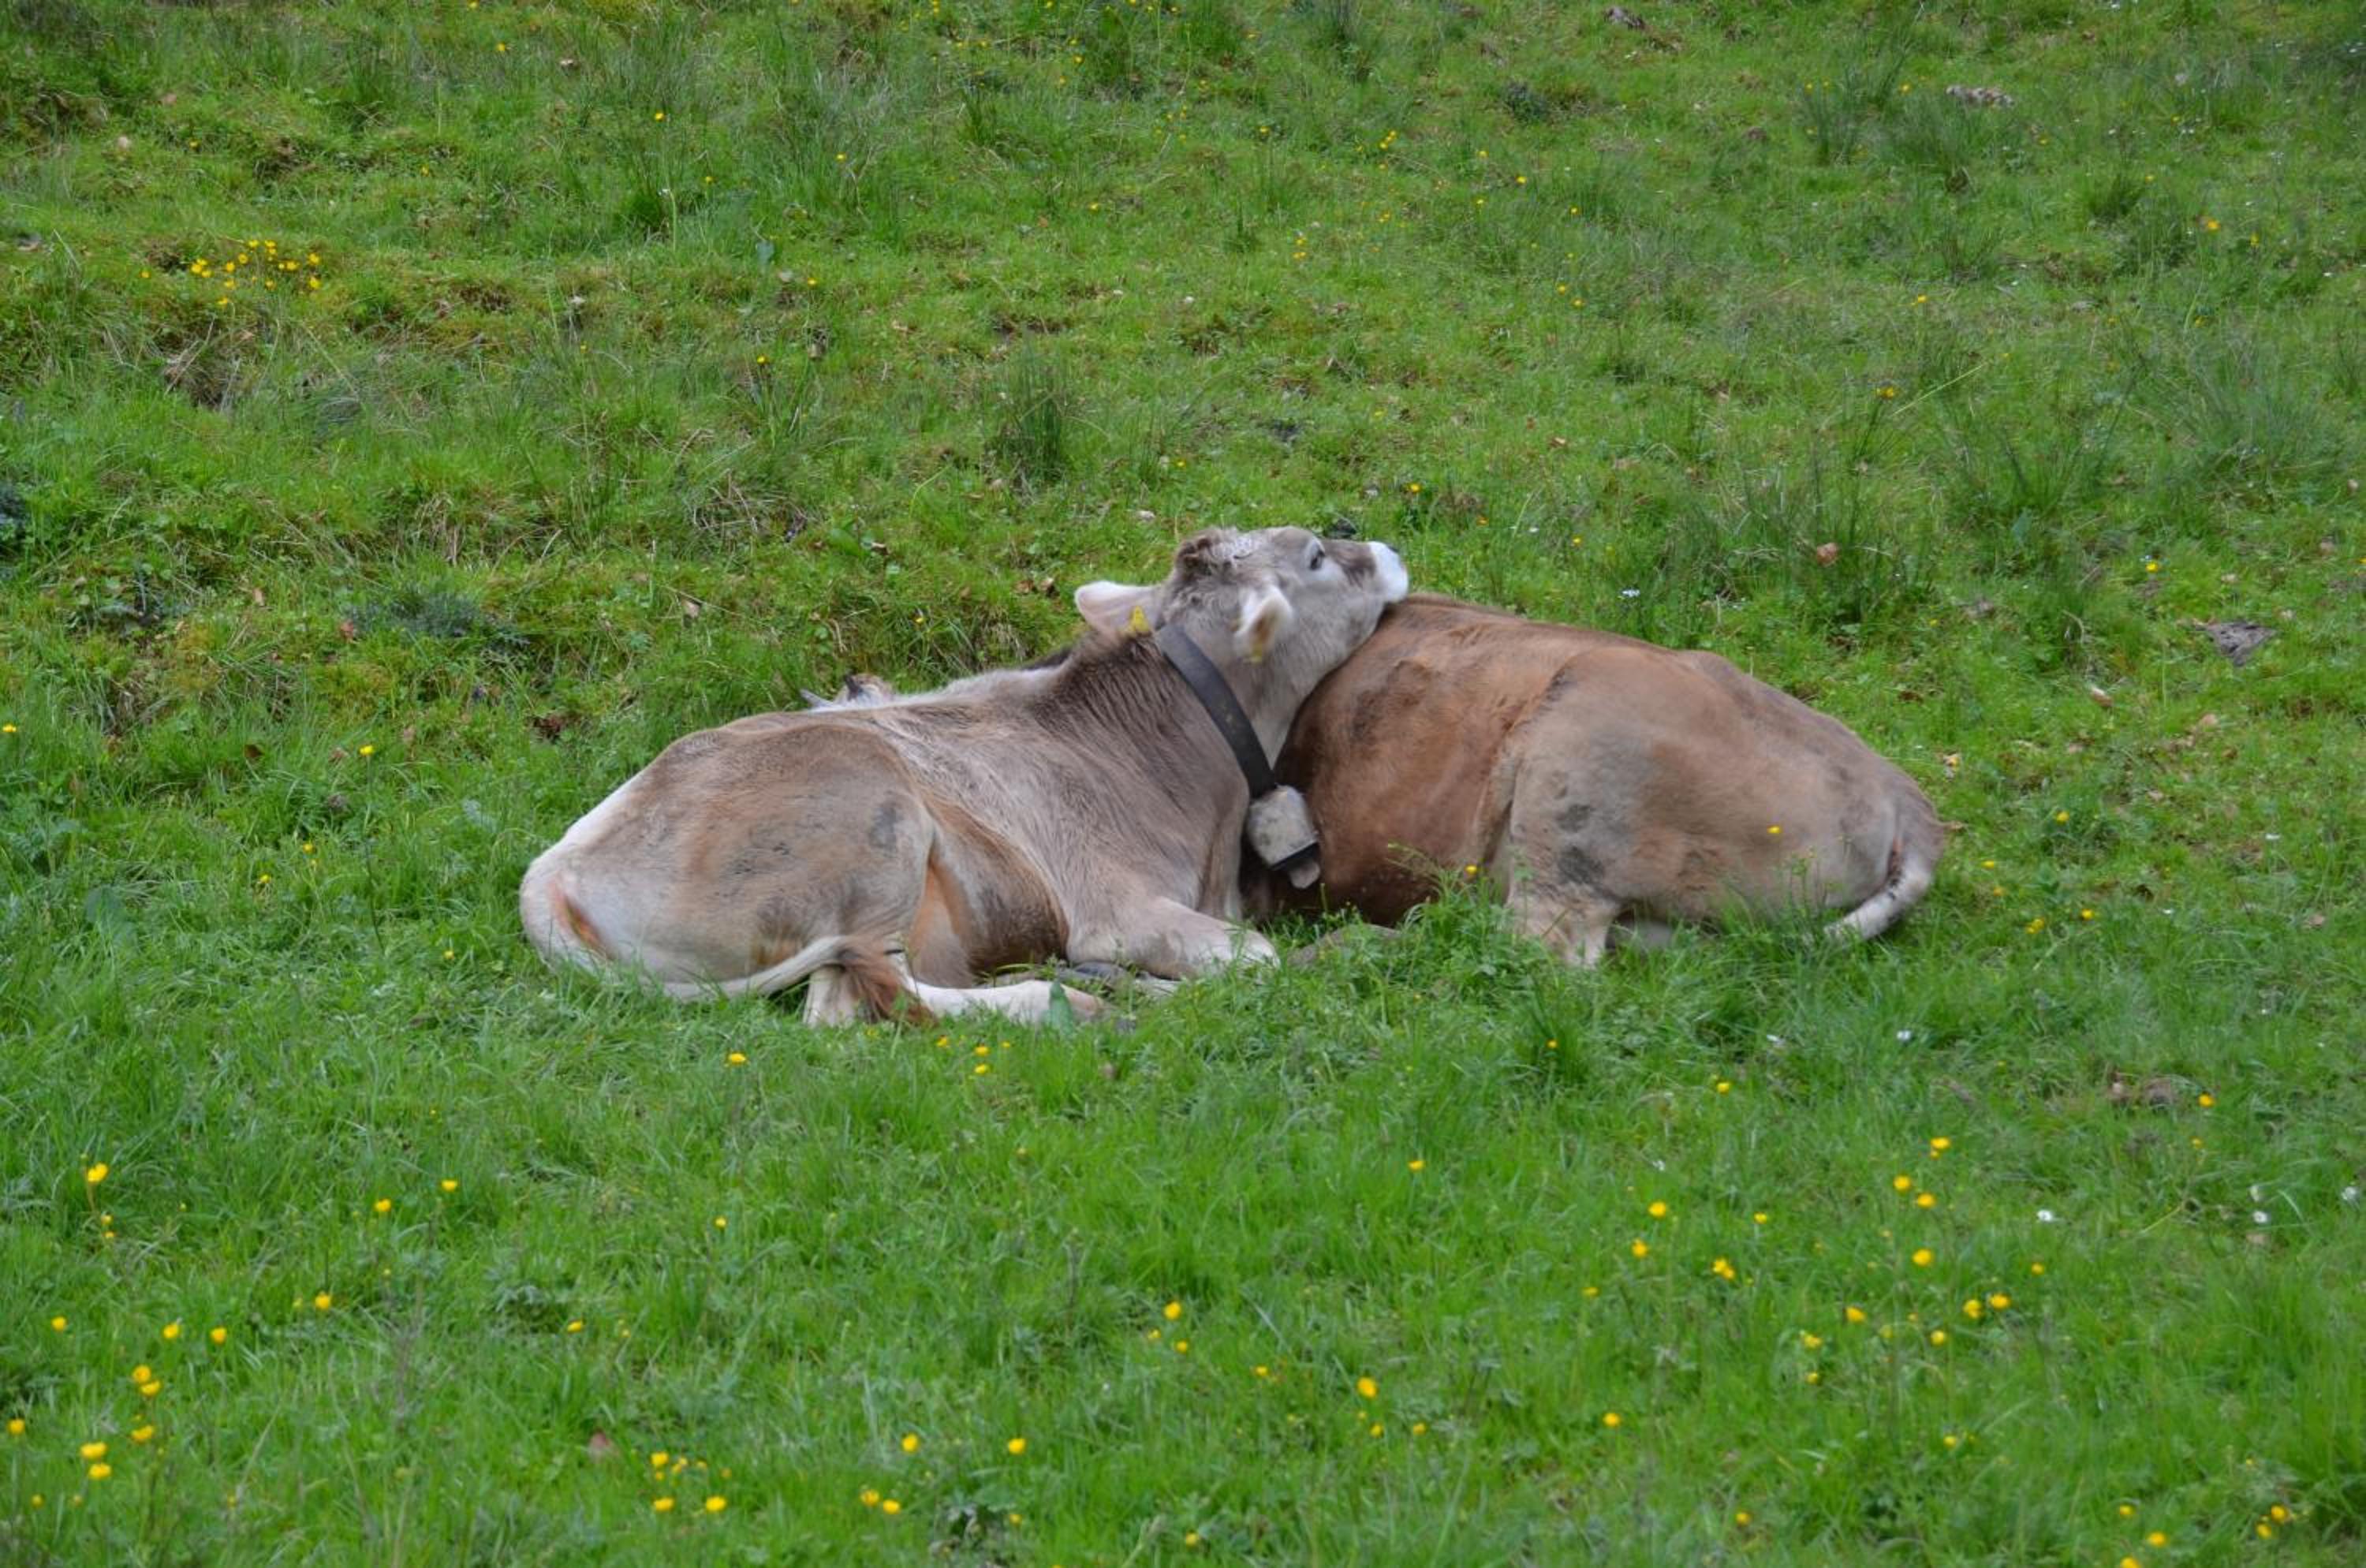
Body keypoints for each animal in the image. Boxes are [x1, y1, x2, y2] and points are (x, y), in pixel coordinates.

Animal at [518, 527, 1408, 1024]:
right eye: (1318, 555)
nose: (1387, 548)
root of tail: (554, 867)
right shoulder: (1115, 908)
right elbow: (1256, 958)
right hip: (873, 820)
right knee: (854, 1004)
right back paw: (1075, 1000)